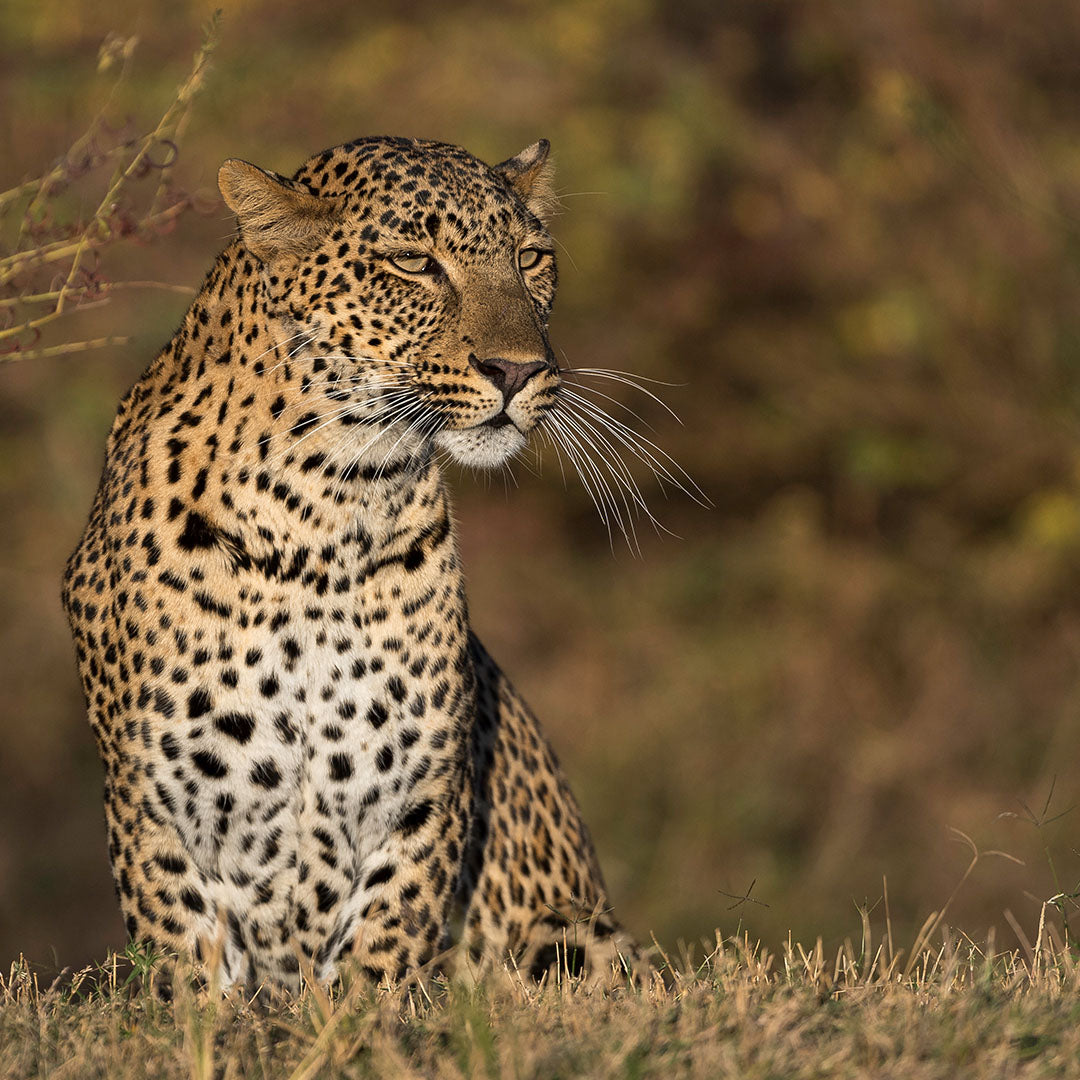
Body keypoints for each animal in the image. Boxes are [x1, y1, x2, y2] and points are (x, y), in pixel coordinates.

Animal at [62, 135, 639, 990]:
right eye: (414, 263)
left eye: (532, 258)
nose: (519, 371)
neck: (326, 507)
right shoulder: (152, 795)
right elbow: (185, 957)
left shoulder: (425, 792)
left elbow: (382, 946)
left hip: (581, 933)